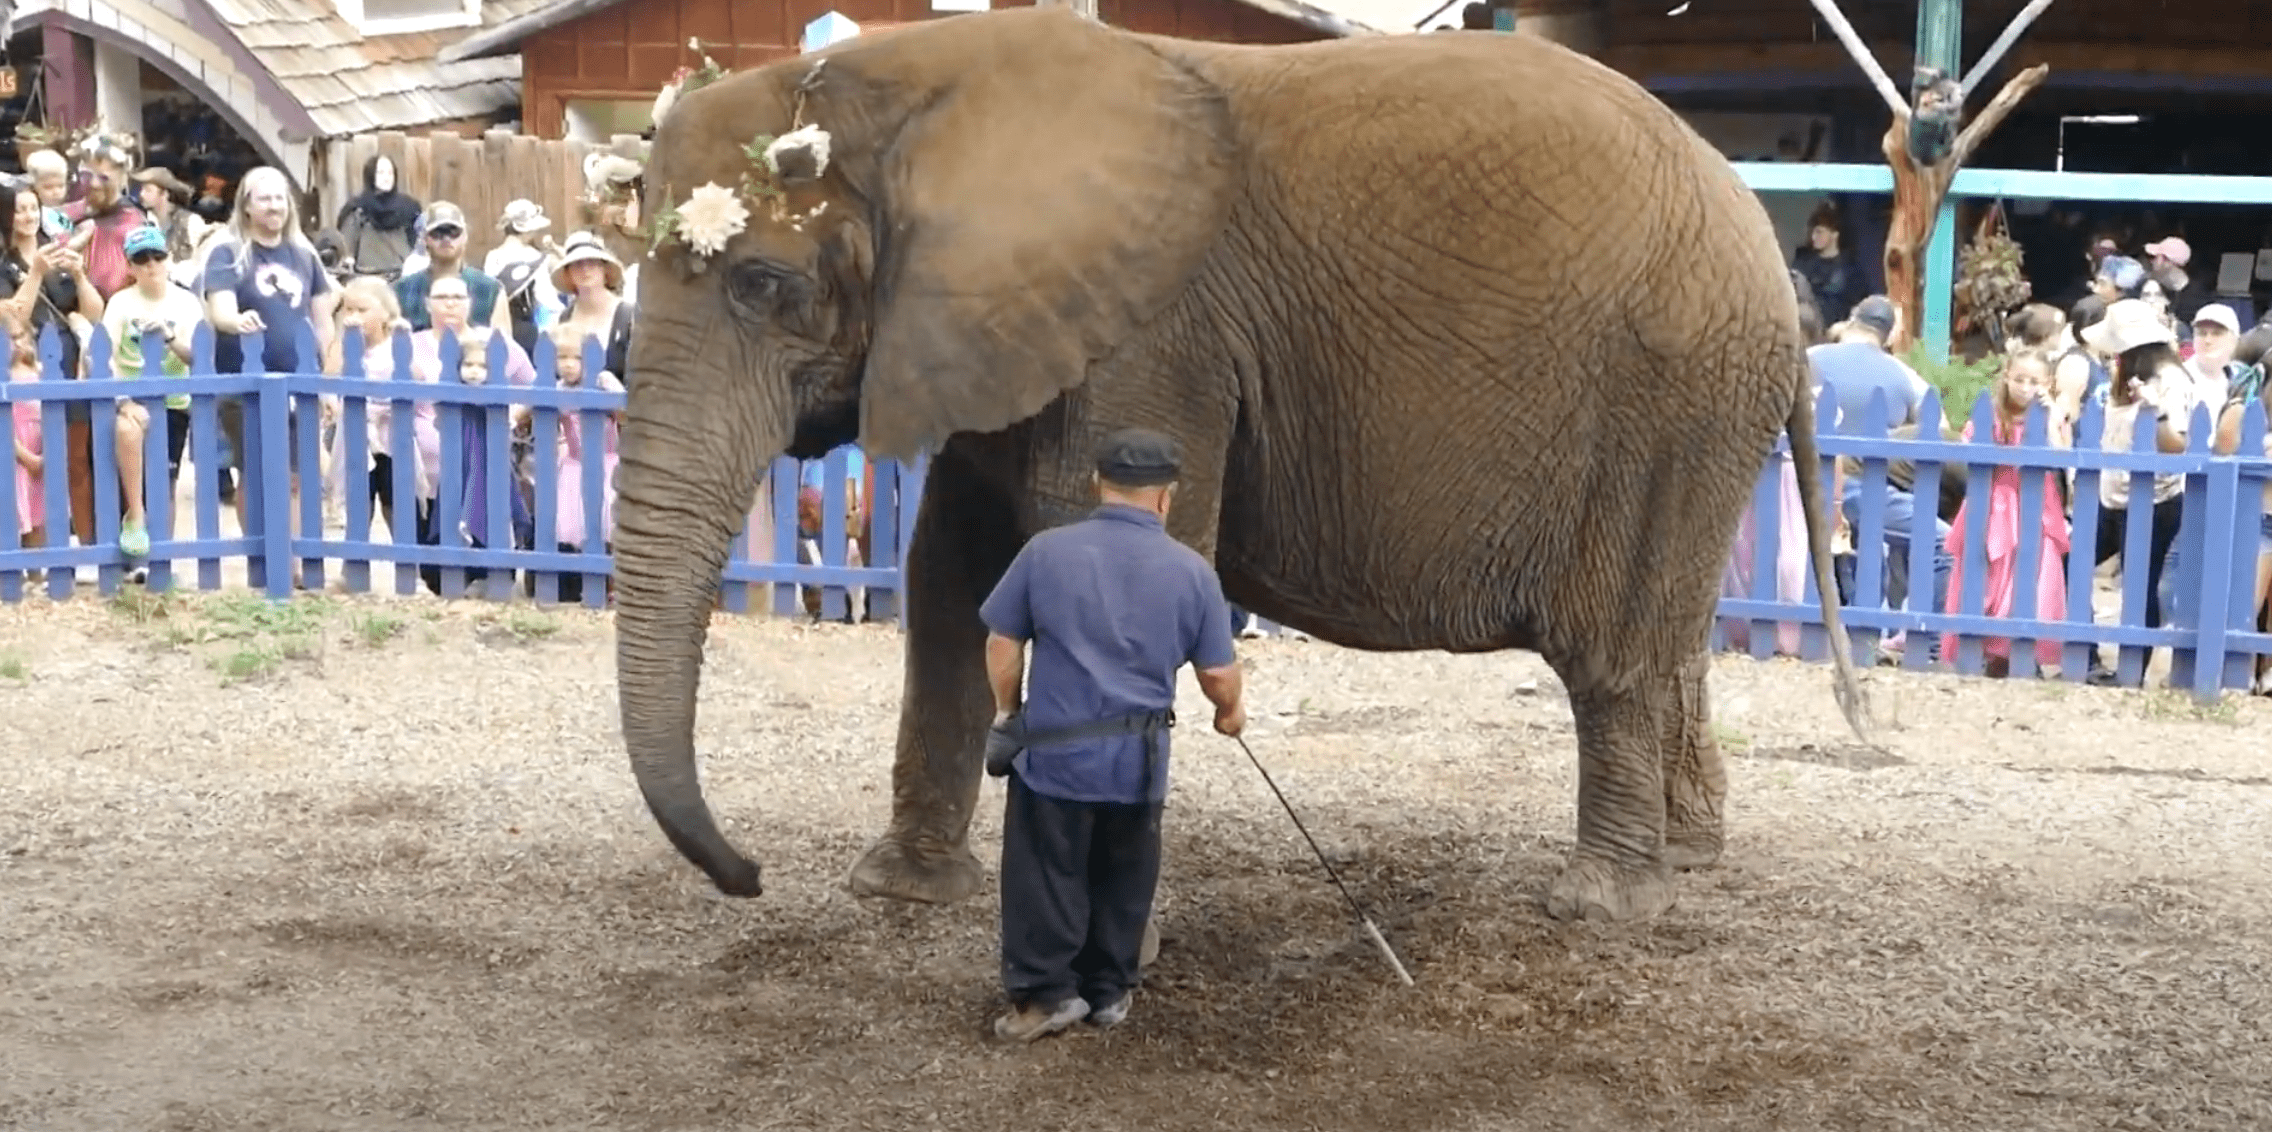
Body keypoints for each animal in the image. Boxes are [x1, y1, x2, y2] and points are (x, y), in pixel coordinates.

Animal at [608, 6, 1870, 927]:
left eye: (764, 286)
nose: (749, 875)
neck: (904, 80)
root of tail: (1759, 238)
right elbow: (953, 578)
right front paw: (902, 893)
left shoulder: (1152, 337)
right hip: (1701, 409)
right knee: (1671, 641)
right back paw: (1691, 860)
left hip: (1670, 390)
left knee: (1614, 650)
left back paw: (1602, 904)